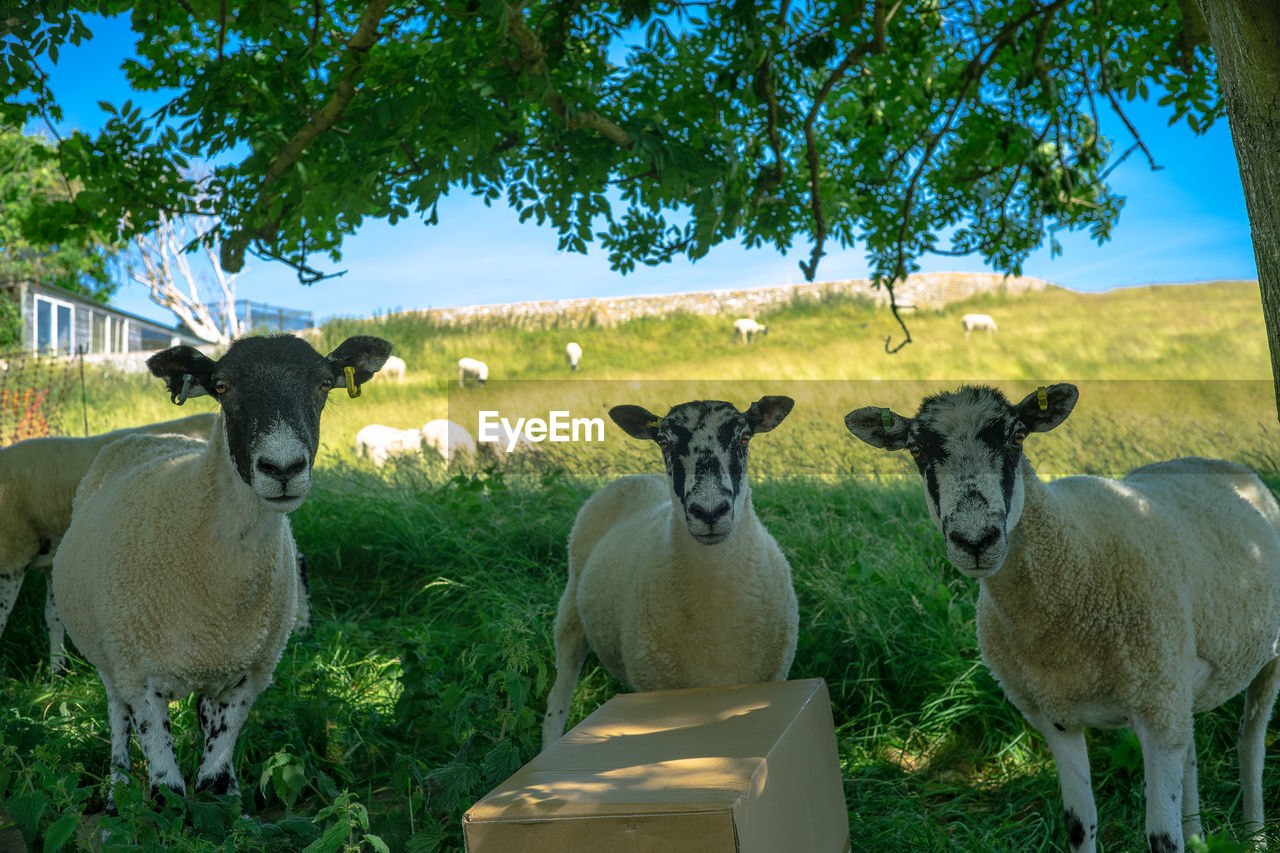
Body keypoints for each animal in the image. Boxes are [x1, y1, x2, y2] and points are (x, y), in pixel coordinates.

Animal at [51, 330, 389, 804]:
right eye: (222, 387)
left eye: (324, 383)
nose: (282, 469)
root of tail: (145, 437)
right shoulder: (141, 678)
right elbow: (169, 794)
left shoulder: (246, 679)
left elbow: (212, 781)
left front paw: (228, 803)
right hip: (108, 655)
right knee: (117, 715)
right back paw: (117, 789)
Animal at [542, 394, 798, 742]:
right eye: (663, 441)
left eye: (745, 437)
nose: (709, 512)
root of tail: (633, 478)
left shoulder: (775, 677)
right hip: (570, 609)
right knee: (559, 693)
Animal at [849, 384, 1280, 850]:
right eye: (915, 449)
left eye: (1018, 436)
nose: (975, 541)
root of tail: (1221, 463)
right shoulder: (1056, 717)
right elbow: (1079, 823)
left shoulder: (1155, 709)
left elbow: (1161, 839)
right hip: (1178, 689)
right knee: (1193, 753)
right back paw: (1199, 835)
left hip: (1254, 663)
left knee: (1250, 744)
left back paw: (1256, 834)